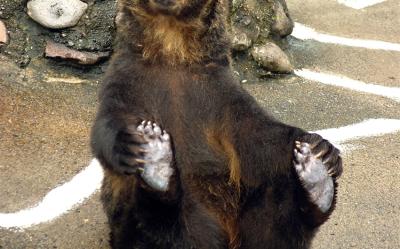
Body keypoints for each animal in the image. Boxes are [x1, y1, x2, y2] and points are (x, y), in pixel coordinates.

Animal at [91, 0, 344, 249]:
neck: (172, 52)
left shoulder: (218, 93)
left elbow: (256, 133)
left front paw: (322, 149)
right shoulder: (130, 80)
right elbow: (110, 121)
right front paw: (133, 142)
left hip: (244, 208)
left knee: (275, 205)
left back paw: (316, 183)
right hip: (188, 216)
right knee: (153, 224)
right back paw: (157, 165)